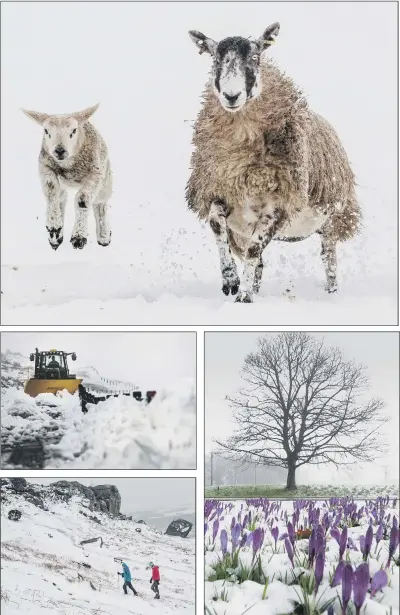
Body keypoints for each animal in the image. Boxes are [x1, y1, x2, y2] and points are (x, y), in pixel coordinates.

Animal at [21, 103, 112, 250]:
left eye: (74, 130)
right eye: (46, 131)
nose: (59, 151)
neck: (69, 166)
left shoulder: (95, 174)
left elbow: (82, 200)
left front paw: (79, 236)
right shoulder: (45, 167)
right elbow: (51, 193)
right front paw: (54, 226)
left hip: (106, 180)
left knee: (100, 204)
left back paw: (104, 235)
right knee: (61, 199)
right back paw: (56, 237)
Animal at [188, 24, 362, 304]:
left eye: (255, 57)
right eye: (215, 59)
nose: (231, 96)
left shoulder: (278, 206)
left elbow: (253, 250)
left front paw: (243, 297)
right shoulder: (220, 191)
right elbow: (218, 226)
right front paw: (231, 280)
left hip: (333, 219)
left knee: (329, 258)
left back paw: (331, 293)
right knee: (259, 261)